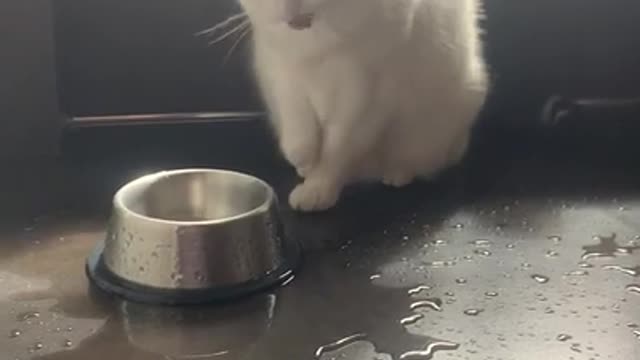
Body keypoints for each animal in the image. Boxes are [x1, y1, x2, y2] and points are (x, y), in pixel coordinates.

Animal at [238, 0, 488, 212]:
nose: (291, 6)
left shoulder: (366, 93)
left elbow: (335, 152)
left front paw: (316, 191)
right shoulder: (284, 74)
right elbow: (298, 129)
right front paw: (303, 158)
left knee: (413, 159)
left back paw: (396, 174)